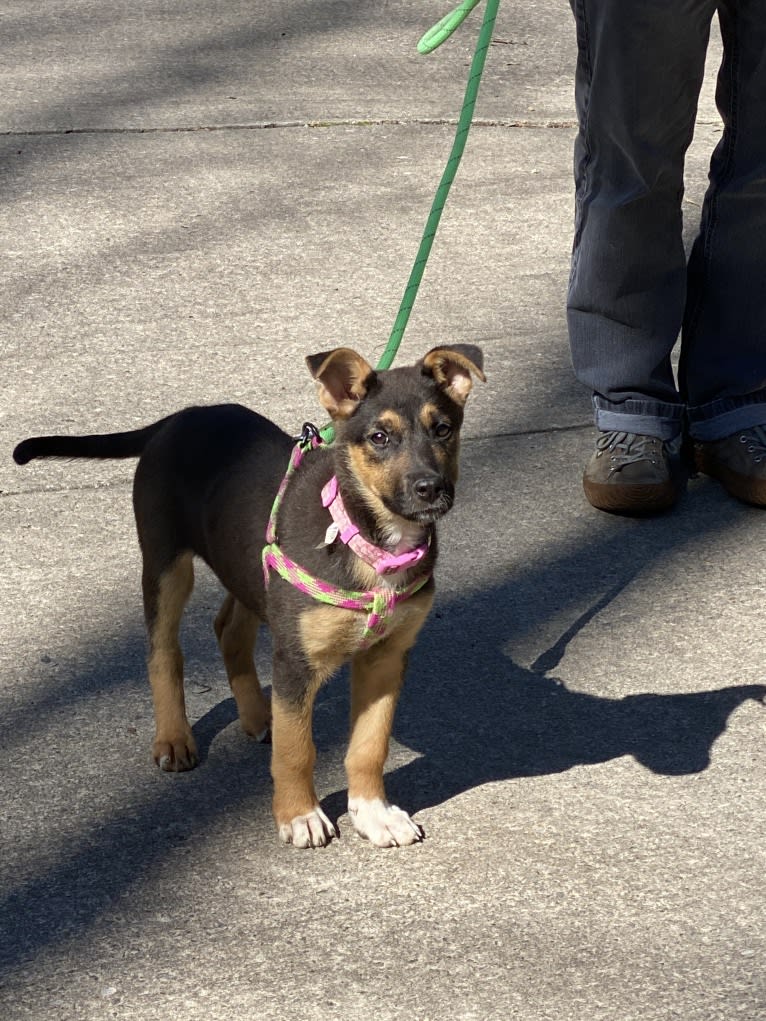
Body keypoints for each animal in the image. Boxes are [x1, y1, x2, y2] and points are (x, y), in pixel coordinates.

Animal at [13, 347, 486, 849]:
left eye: (443, 429)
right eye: (380, 437)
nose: (430, 488)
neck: (367, 538)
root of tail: (177, 419)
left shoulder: (387, 656)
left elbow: (369, 746)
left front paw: (374, 813)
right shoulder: (295, 660)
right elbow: (298, 750)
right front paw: (300, 814)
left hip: (248, 566)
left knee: (229, 631)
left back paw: (261, 715)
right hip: (166, 563)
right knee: (164, 651)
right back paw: (174, 738)